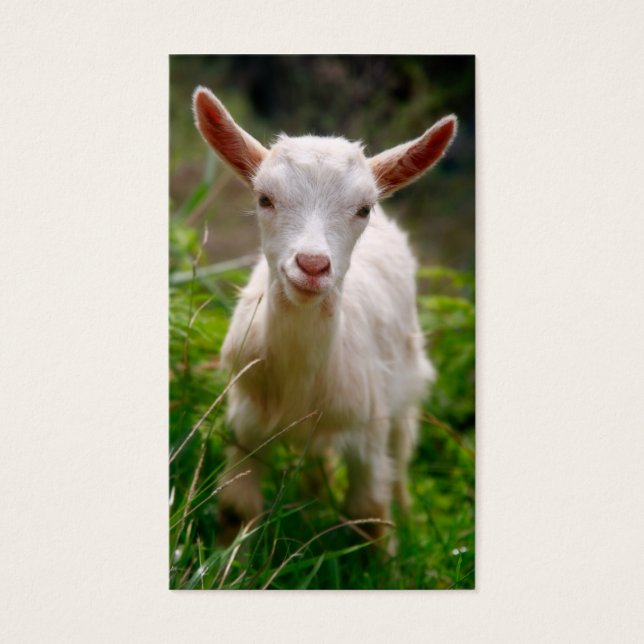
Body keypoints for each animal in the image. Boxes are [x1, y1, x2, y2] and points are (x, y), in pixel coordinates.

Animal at [193, 87, 457, 548]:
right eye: (264, 198)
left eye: (364, 209)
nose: (313, 265)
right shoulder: (245, 423)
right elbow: (236, 507)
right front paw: (226, 559)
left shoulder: (369, 428)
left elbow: (369, 514)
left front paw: (386, 561)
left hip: (406, 386)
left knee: (401, 458)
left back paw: (409, 520)